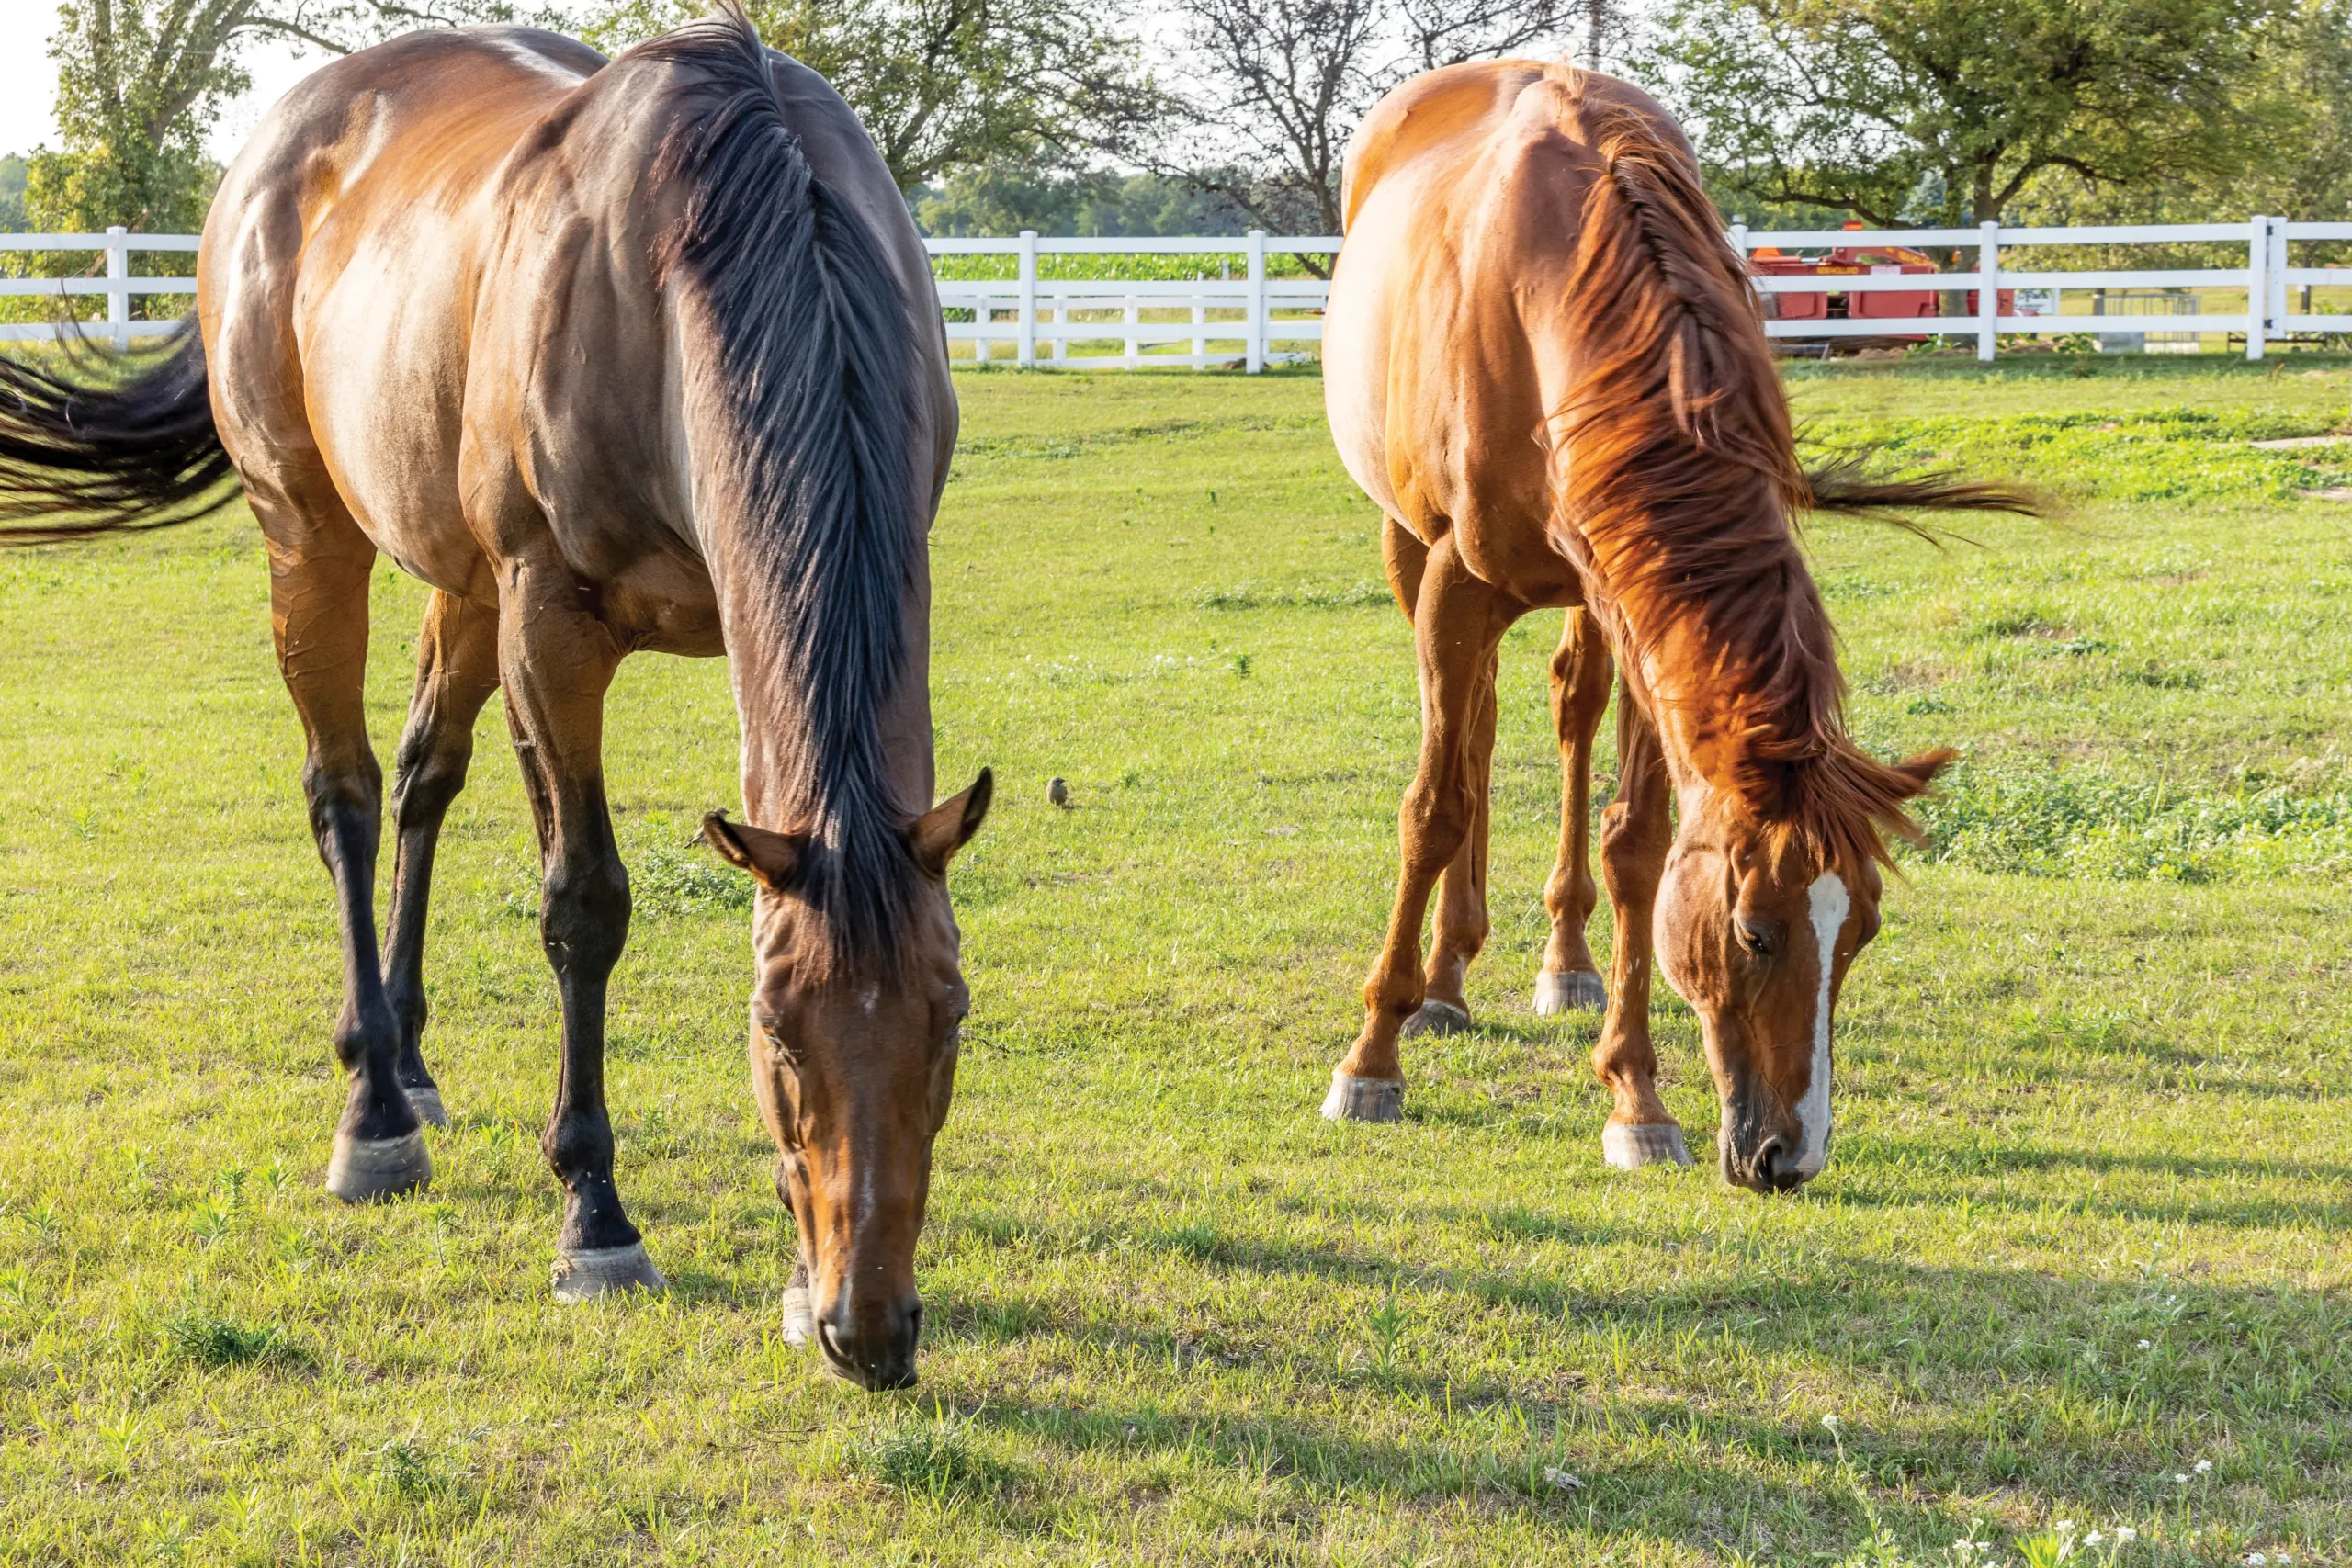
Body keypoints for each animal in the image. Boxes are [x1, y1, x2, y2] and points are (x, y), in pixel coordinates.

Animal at [0, 9, 987, 1390]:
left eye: (948, 1026)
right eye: (779, 1036)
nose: (870, 1327)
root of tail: (282, 136)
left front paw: (792, 1282)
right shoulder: (550, 627)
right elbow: (584, 904)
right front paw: (594, 1218)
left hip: (457, 583)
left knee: (424, 775)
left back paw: (409, 1060)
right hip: (311, 535)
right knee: (348, 794)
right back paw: (373, 1109)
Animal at [1316, 61, 2027, 1191]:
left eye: (1861, 933)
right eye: (1755, 934)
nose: (1789, 1156)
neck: (1551, 291)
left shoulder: (1641, 604)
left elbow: (1639, 846)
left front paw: (1635, 1098)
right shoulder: (1452, 585)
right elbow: (1431, 807)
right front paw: (1371, 1059)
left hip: (1588, 594)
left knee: (1564, 712)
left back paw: (1556, 963)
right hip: (1411, 552)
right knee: (1472, 736)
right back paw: (1442, 980)